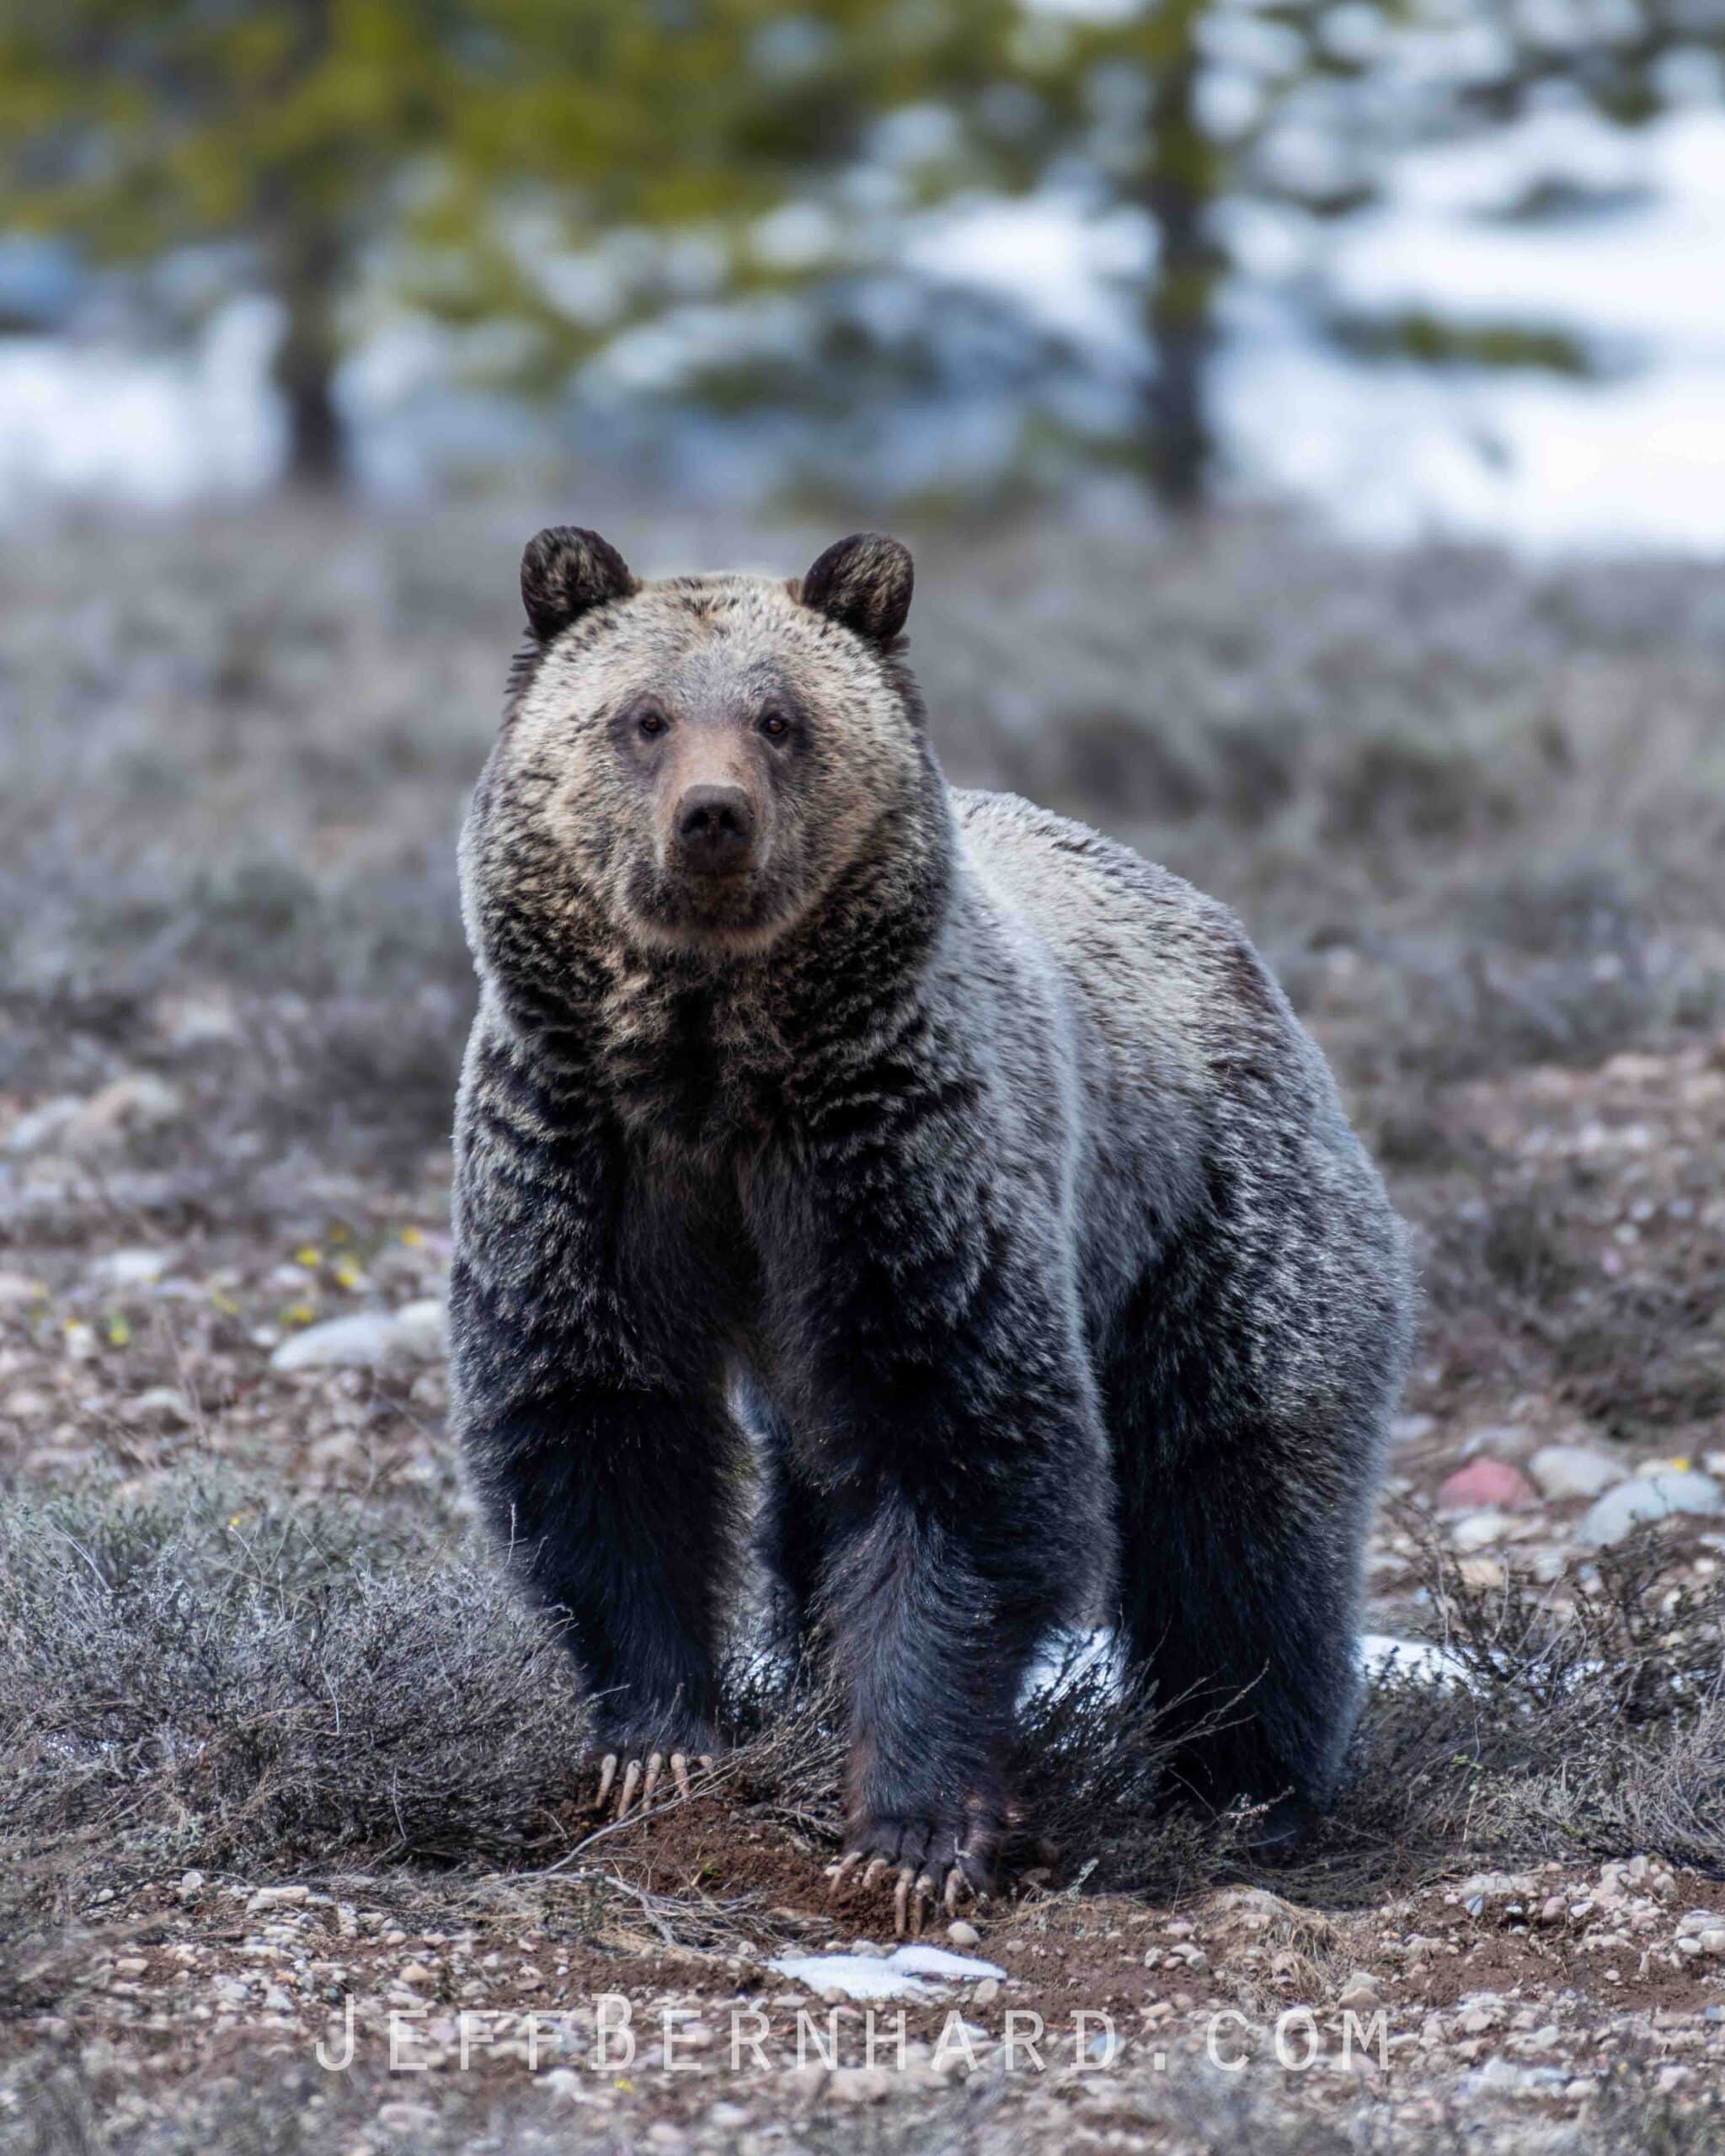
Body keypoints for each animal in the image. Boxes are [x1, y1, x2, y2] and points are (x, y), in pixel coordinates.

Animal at [450, 525, 1415, 1932]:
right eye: (644, 716)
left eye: (780, 718)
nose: (712, 818)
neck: (716, 1063)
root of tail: (1228, 938)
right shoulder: (588, 1150)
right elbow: (597, 1418)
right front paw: (660, 1748)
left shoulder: (904, 1161)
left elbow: (962, 1457)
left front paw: (907, 1836)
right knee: (818, 1495)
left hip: (1211, 1207)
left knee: (1242, 1505)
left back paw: (1247, 1787)